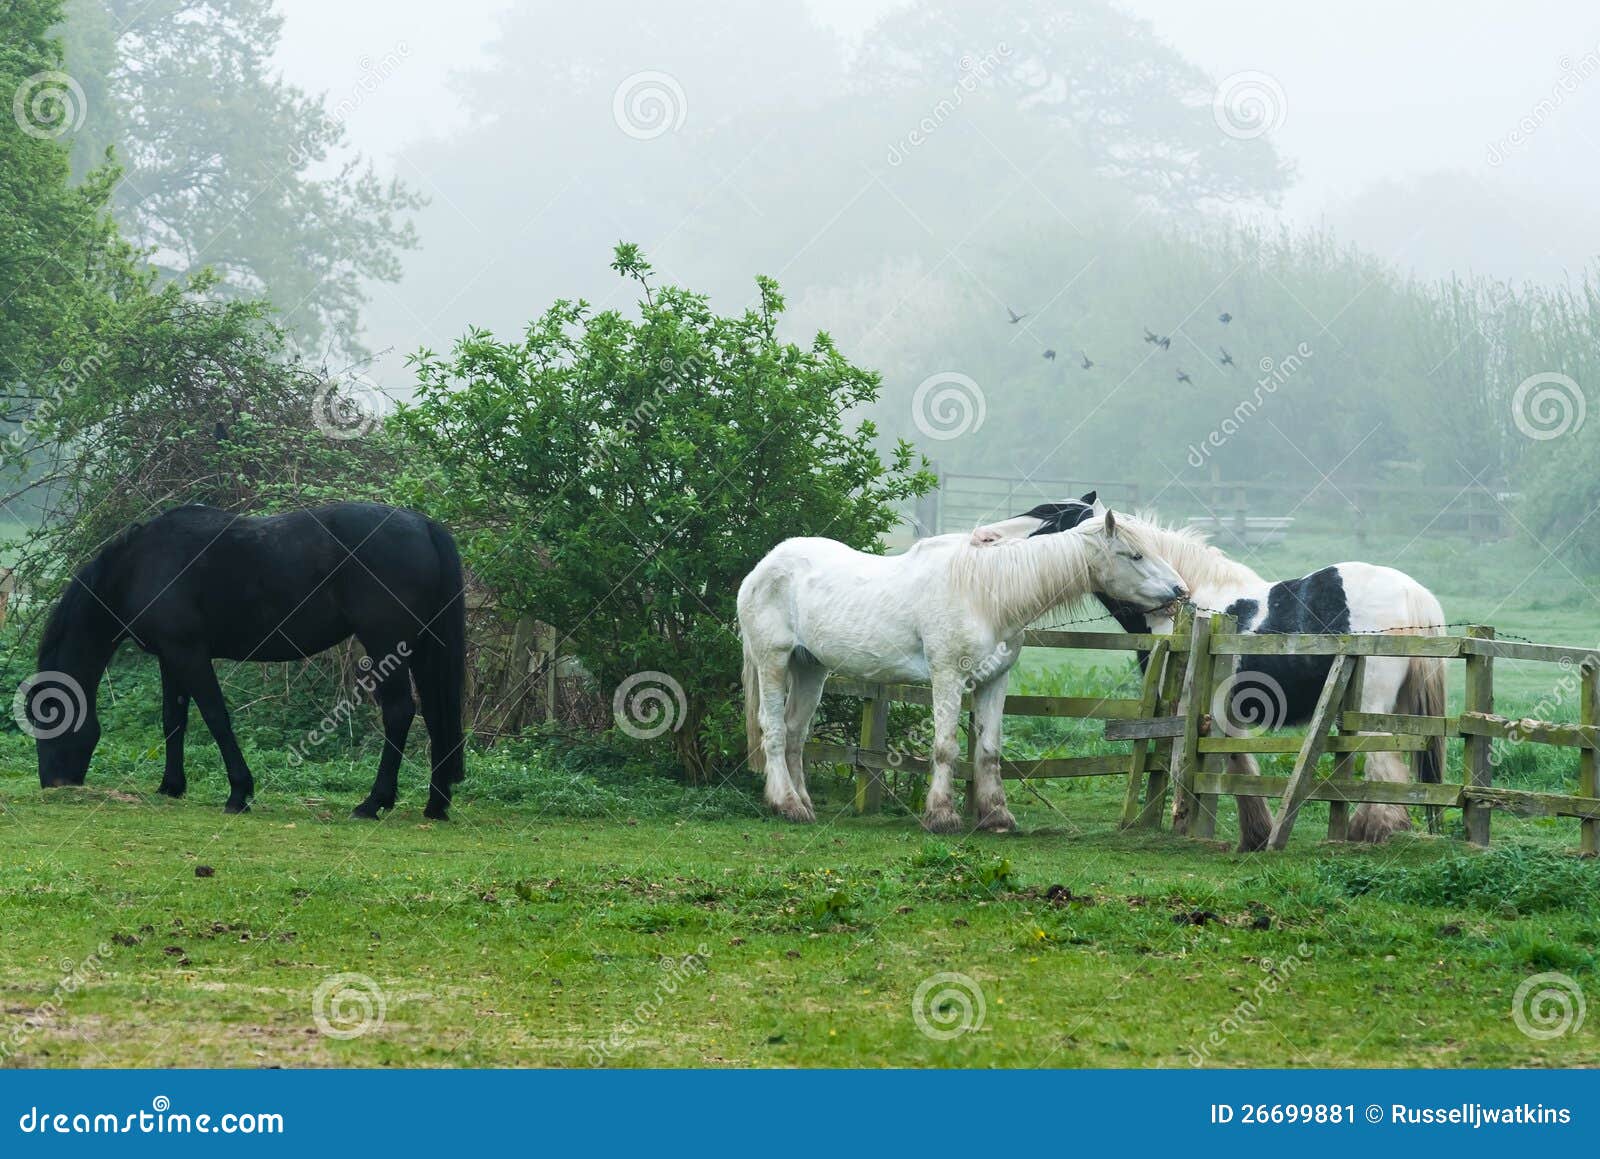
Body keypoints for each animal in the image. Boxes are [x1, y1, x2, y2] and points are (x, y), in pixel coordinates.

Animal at [25, 502, 467, 819]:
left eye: (47, 720)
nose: (52, 784)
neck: (142, 565)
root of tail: (423, 525)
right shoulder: (170, 657)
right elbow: (173, 720)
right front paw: (171, 786)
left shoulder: (189, 653)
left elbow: (216, 717)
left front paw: (239, 792)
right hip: (420, 647)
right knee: (433, 714)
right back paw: (435, 804)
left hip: (385, 643)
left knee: (399, 712)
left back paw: (373, 802)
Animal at [736, 512, 1190, 826]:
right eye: (1134, 554)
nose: (1180, 590)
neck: (985, 594)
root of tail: (762, 568)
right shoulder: (948, 678)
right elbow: (945, 747)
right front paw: (942, 816)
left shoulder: (994, 682)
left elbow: (988, 751)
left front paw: (997, 817)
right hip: (774, 661)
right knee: (774, 731)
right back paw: (787, 805)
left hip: (811, 669)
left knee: (796, 733)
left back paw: (803, 802)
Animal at [966, 499, 1446, 851]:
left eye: (1049, 519)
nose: (981, 537)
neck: (1189, 602)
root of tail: (1415, 595)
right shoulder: (1223, 712)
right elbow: (1238, 768)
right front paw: (1256, 836)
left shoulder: (1189, 707)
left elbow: (1195, 766)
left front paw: (1187, 824)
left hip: (1371, 709)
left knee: (1387, 768)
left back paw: (1375, 831)